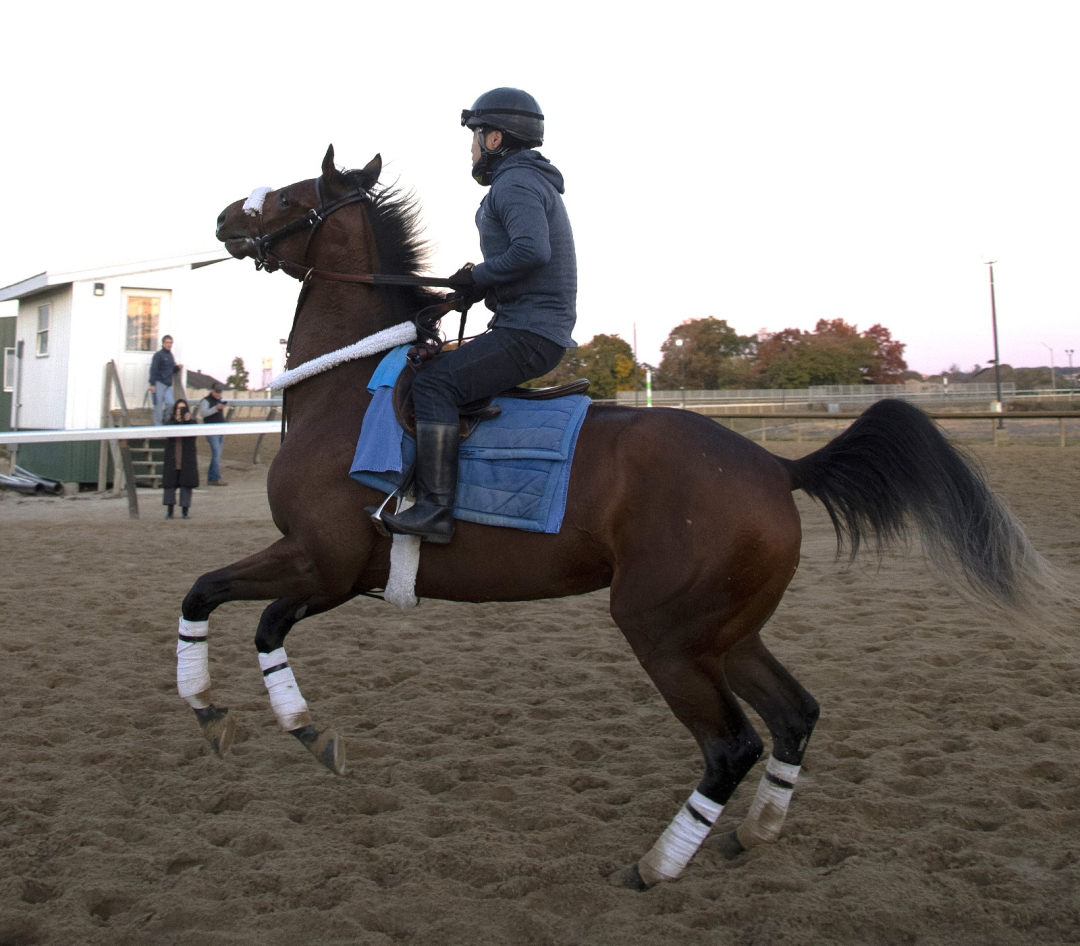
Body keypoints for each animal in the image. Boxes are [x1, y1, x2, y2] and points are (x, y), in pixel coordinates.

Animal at [190, 143, 1049, 889]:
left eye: (293, 196)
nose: (226, 216)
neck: (349, 388)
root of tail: (776, 466)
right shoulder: (330, 570)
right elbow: (223, 606)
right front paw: (238, 714)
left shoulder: (324, 562)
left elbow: (230, 607)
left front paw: (261, 719)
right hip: (723, 634)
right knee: (795, 715)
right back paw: (756, 833)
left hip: (662, 633)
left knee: (731, 745)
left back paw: (655, 868)